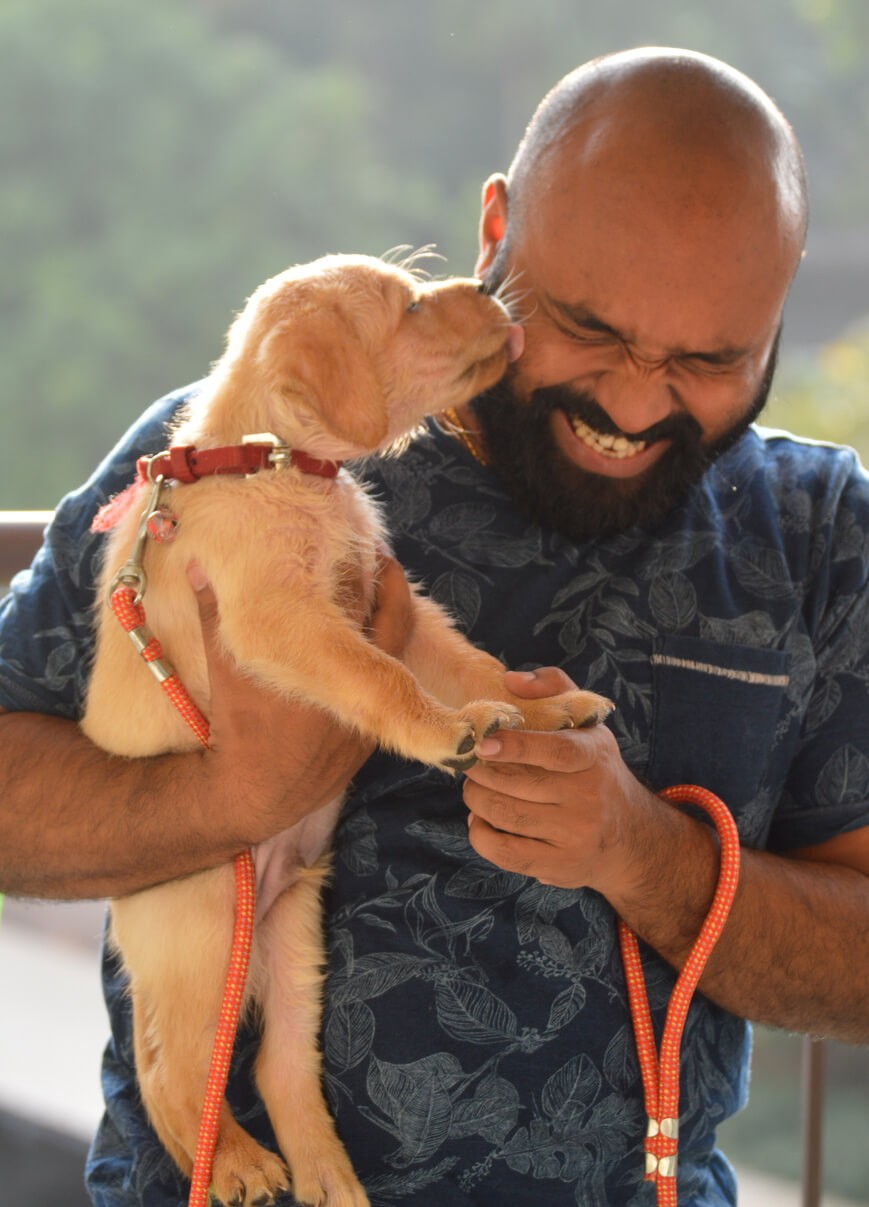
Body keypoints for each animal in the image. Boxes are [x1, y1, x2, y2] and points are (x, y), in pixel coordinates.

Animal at [83, 249, 610, 1202]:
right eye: (409, 308)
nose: (490, 289)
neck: (276, 462)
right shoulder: (283, 619)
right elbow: (383, 678)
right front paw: (449, 732)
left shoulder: (399, 604)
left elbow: (471, 664)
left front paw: (541, 706)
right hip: (207, 931)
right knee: (170, 1071)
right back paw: (237, 1165)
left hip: (294, 941)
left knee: (275, 1067)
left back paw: (326, 1175)